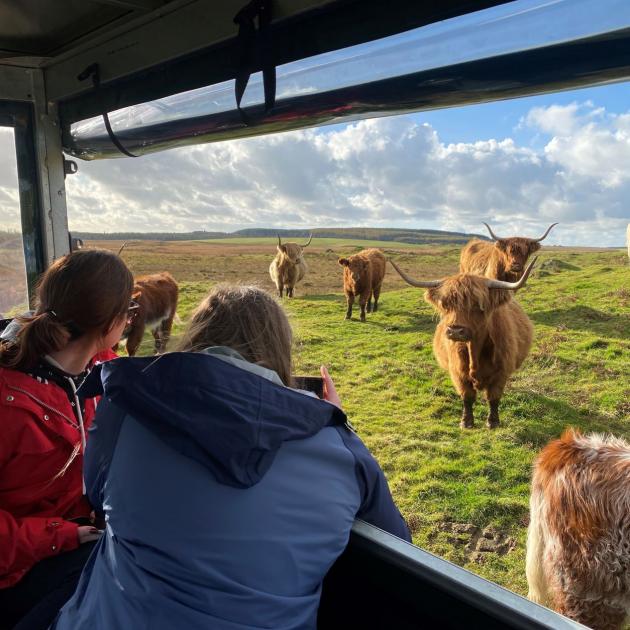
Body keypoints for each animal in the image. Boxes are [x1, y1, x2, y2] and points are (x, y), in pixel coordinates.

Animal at [392, 258, 536, 430]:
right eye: (446, 305)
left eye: (477, 305)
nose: (455, 331)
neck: (474, 350)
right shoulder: (458, 373)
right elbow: (467, 397)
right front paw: (466, 422)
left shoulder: (501, 373)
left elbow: (493, 398)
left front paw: (493, 422)